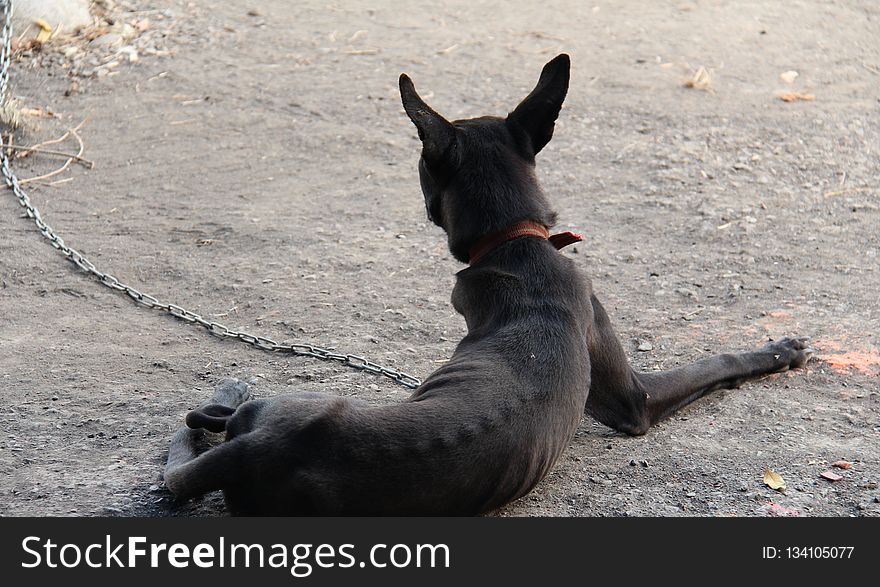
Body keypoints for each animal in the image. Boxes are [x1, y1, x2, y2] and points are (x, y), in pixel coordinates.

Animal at [165, 55, 812, 516]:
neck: (515, 242)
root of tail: (257, 451)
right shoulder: (635, 402)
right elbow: (716, 359)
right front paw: (778, 349)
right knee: (193, 432)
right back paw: (229, 390)